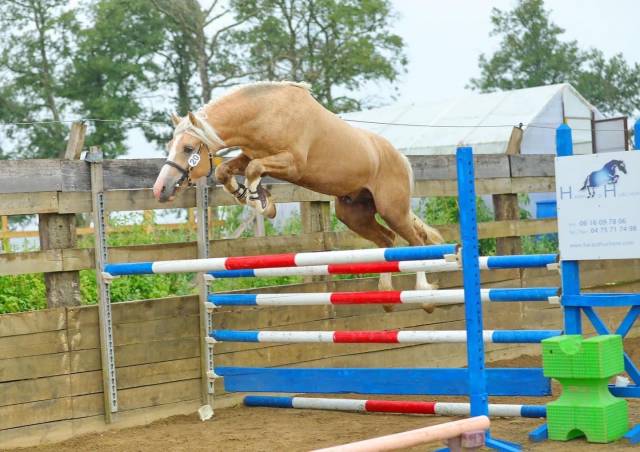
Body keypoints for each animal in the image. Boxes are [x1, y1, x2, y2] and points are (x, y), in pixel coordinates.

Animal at [153, 80, 444, 310]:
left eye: (188, 148)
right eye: (170, 145)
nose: (160, 189)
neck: (266, 112)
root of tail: (401, 159)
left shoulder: (292, 164)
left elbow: (253, 169)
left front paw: (259, 201)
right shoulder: (252, 154)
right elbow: (228, 170)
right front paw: (250, 196)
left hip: (392, 210)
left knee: (416, 242)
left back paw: (424, 297)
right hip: (354, 214)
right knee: (387, 240)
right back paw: (386, 295)